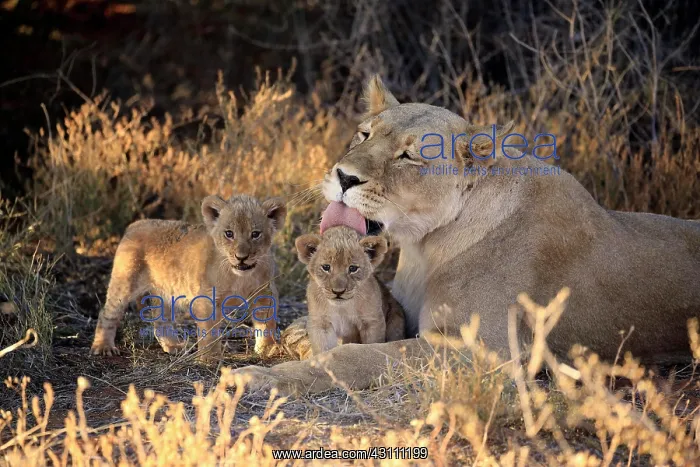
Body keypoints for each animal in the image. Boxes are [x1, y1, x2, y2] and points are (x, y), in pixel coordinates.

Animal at [90, 194, 286, 362]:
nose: (241, 257)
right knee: (107, 312)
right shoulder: (206, 298)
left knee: (160, 320)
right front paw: (209, 358)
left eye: (255, 234)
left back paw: (174, 345)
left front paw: (268, 348)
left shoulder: (265, 292)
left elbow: (266, 323)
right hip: (125, 281)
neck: (239, 276)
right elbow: (209, 329)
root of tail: (135, 224)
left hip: (166, 291)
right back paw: (103, 346)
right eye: (229, 233)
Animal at [295, 226, 405, 356]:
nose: (338, 292)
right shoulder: (321, 324)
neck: (342, 308)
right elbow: (323, 350)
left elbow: (372, 345)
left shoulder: (372, 321)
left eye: (353, 268)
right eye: (326, 267)